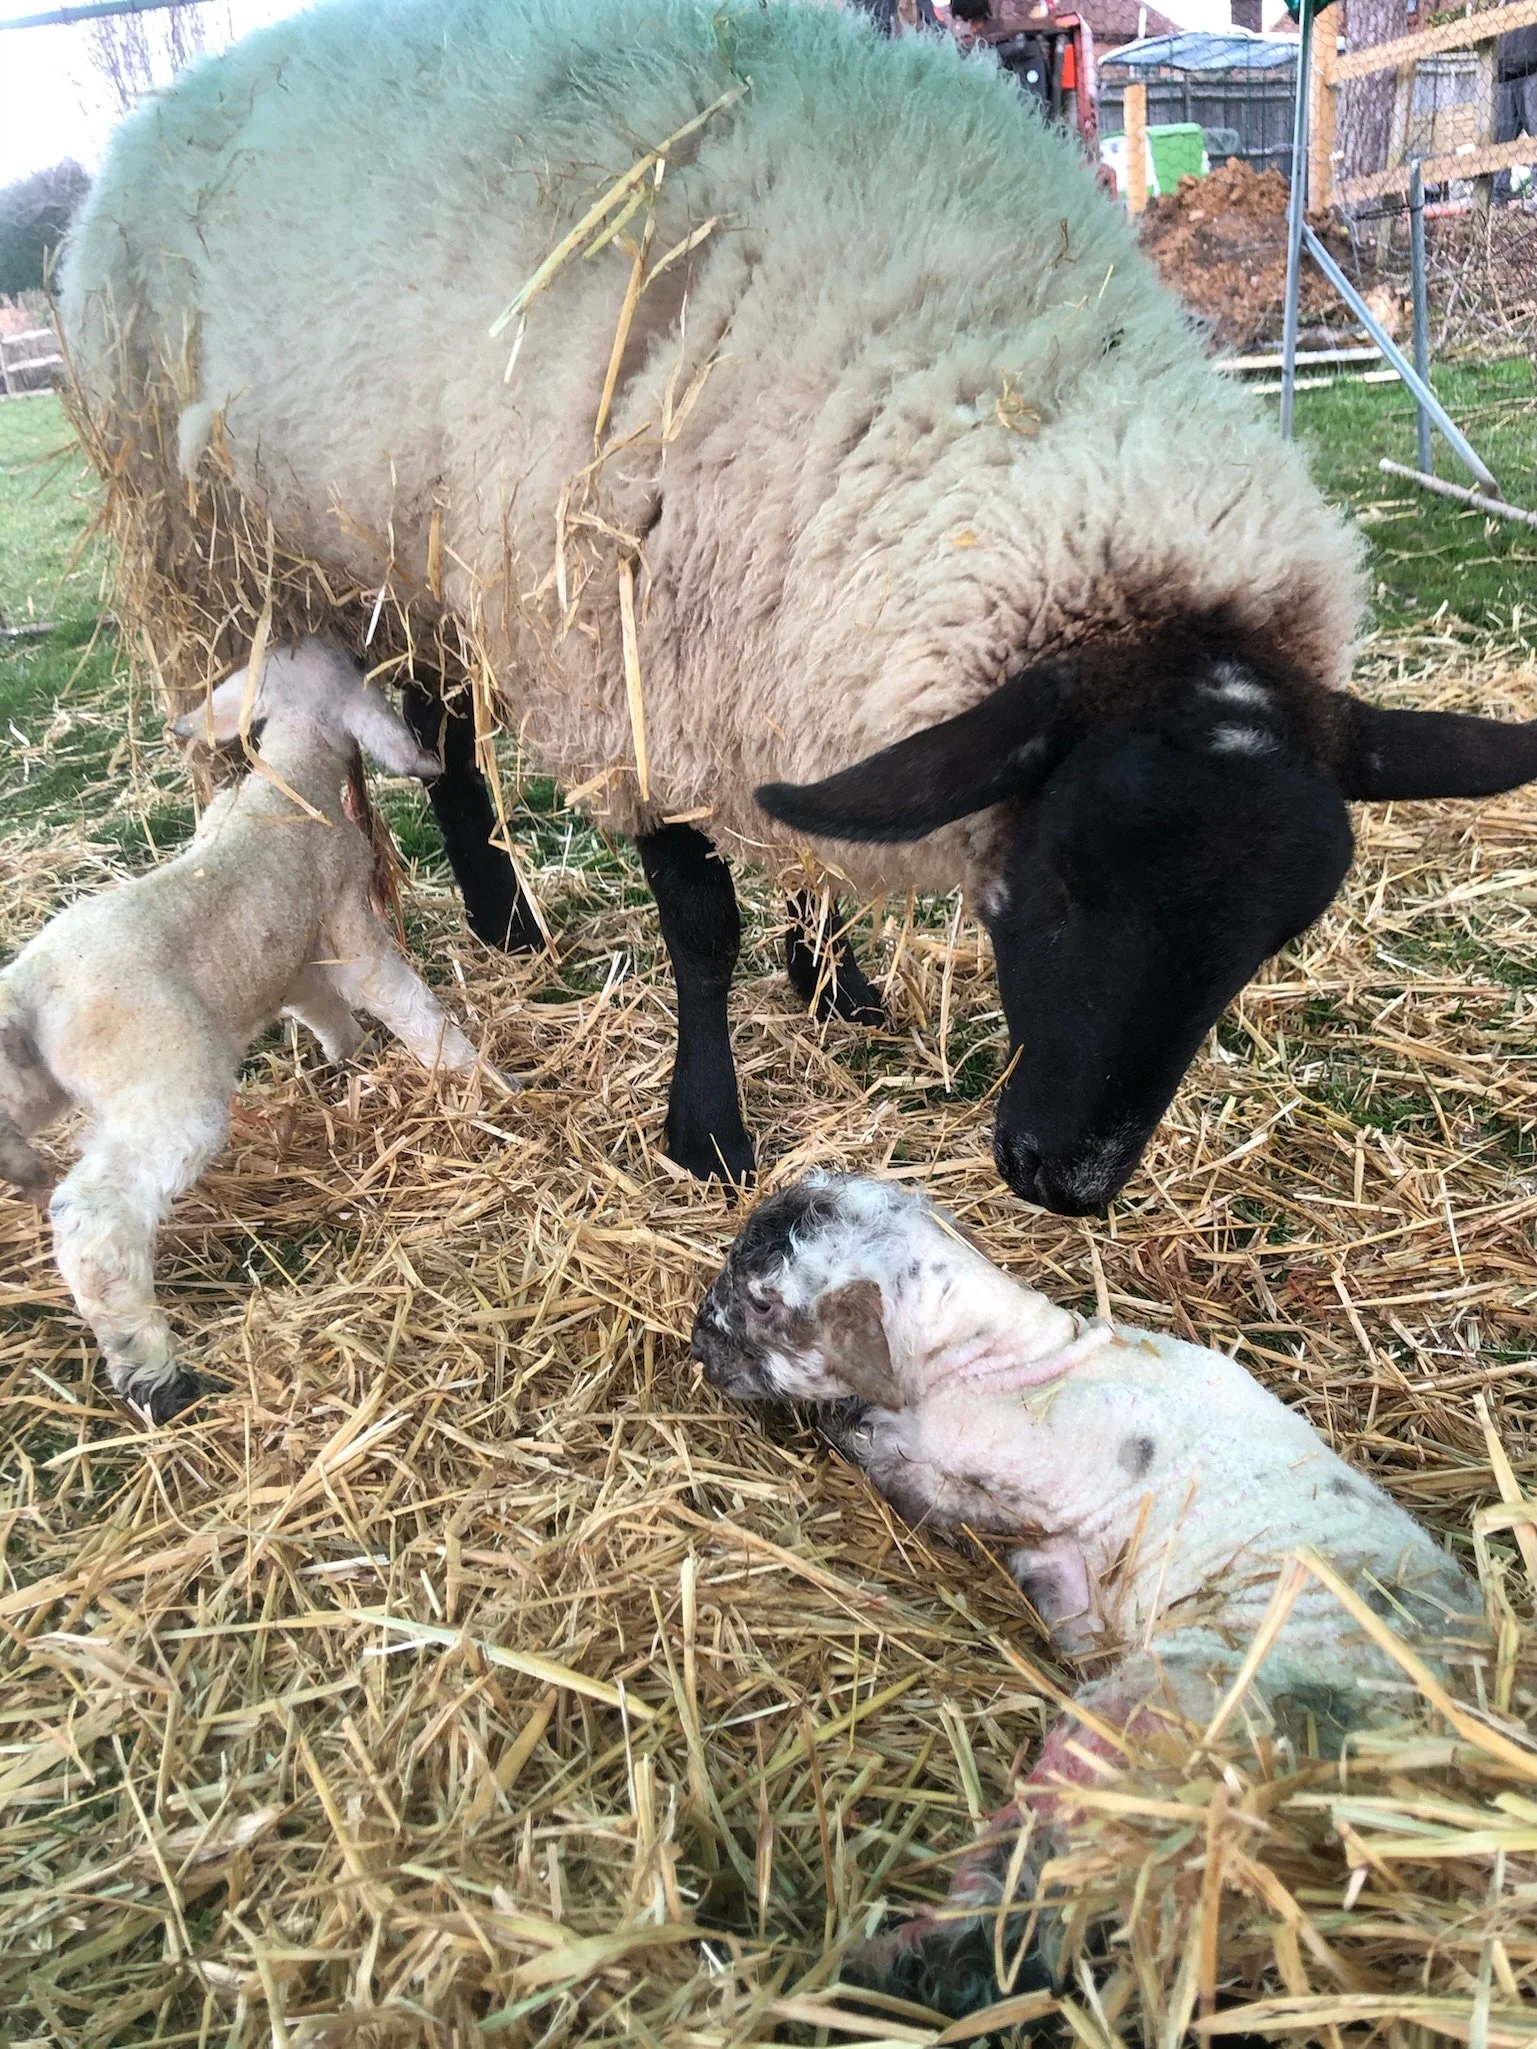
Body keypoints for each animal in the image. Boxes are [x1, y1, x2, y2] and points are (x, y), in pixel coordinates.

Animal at [0, 638, 498, 1425]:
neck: (288, 776)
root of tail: (28, 990)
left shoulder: (293, 958)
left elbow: (319, 1008)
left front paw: (350, 1058)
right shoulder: (348, 923)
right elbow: (401, 999)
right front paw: (474, 1072)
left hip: (31, 1080)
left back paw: (20, 1172)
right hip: (168, 1081)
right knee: (95, 1222)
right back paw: (150, 1369)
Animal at [59, 0, 1537, 1207]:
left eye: (1276, 936)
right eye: (1056, 879)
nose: (1066, 1179)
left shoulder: (782, 640)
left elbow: (818, 827)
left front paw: (834, 980)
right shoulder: (632, 665)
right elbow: (699, 925)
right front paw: (707, 1132)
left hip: (417, 541)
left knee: (440, 723)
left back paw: (501, 914)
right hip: (214, 547)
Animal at [692, 1173, 1485, 2018]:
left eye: (765, 1301)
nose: (698, 1347)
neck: (1007, 1357)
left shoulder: (982, 1469)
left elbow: (892, 1459)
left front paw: (847, 1424)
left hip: (1151, 1721)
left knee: (1015, 1913)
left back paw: (862, 1974)